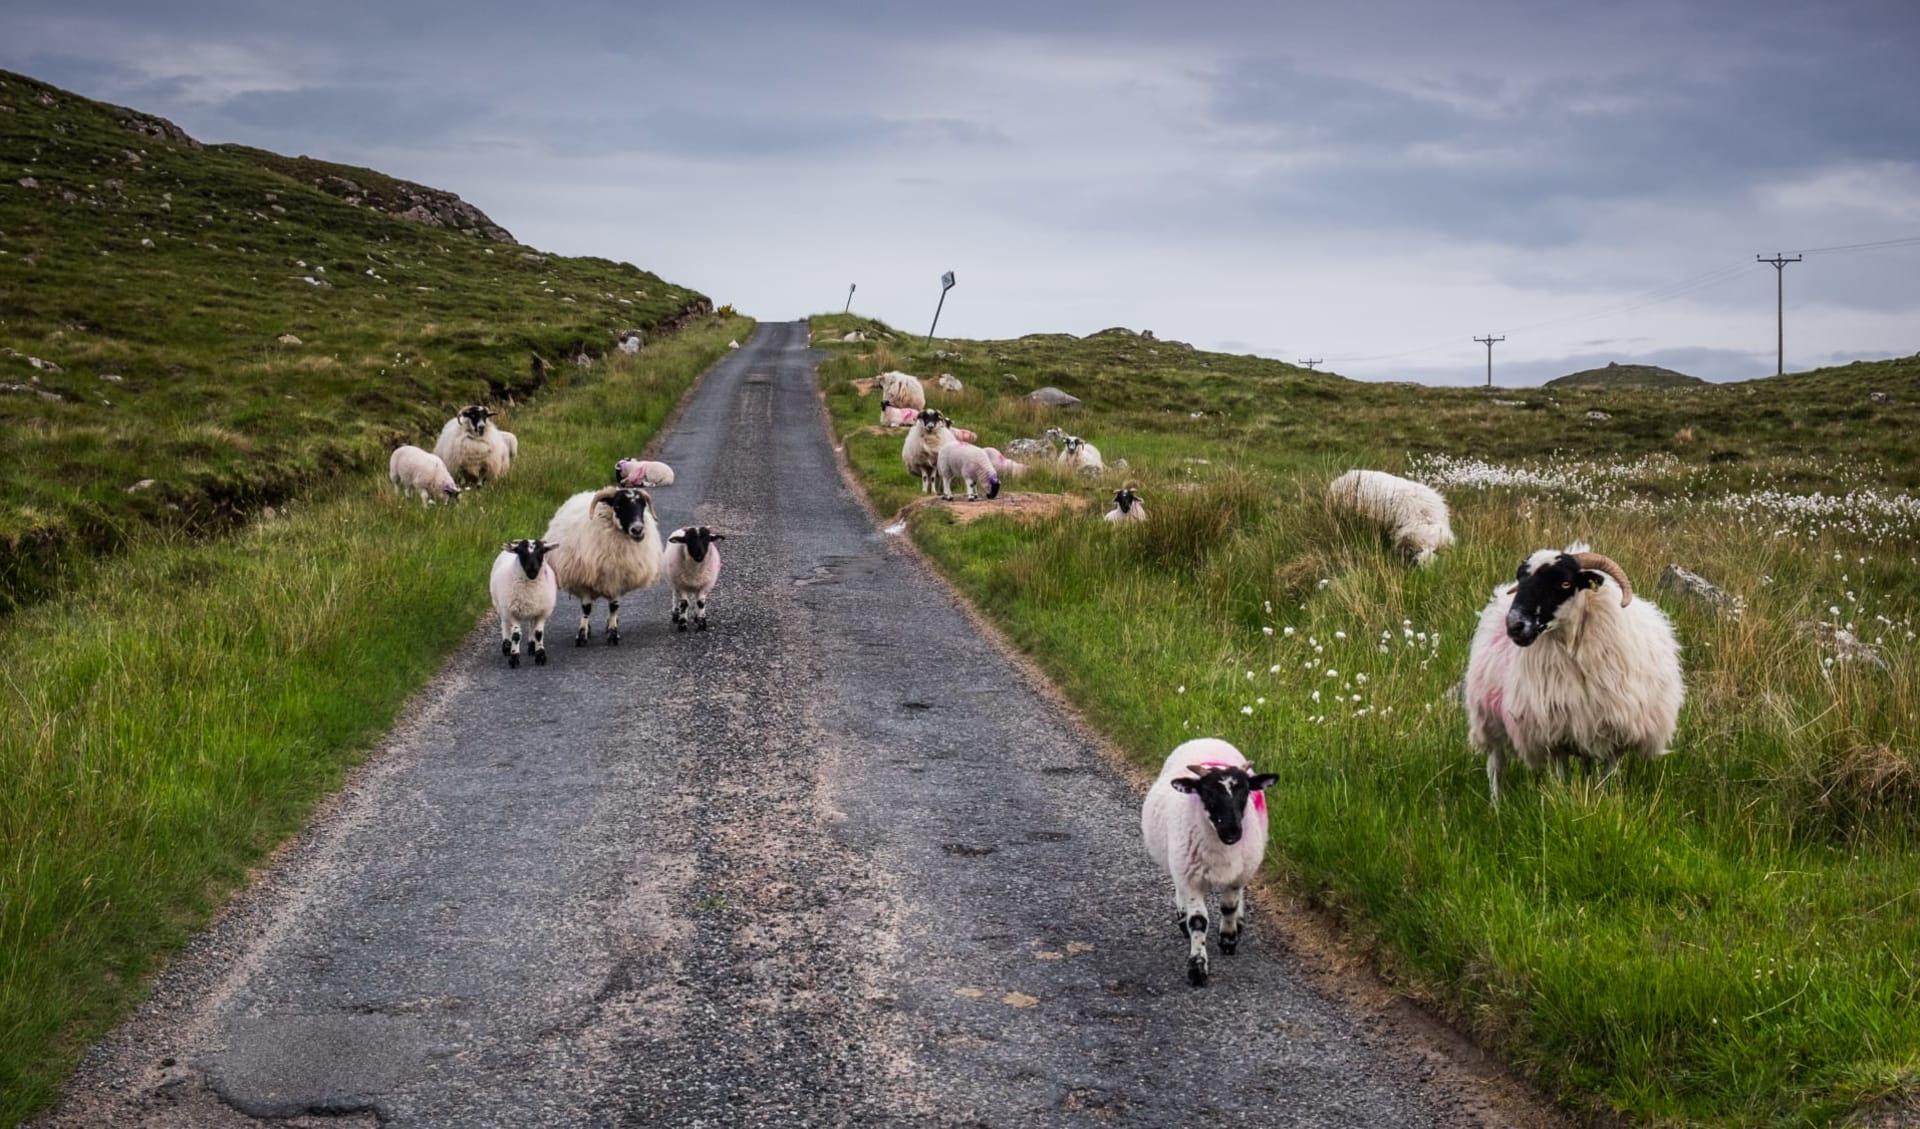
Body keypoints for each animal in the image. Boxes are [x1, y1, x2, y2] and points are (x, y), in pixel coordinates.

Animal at [491, 541, 560, 672]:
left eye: (542, 551)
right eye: (521, 552)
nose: (532, 569)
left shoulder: (542, 612)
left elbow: (538, 634)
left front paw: (540, 655)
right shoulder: (512, 612)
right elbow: (516, 635)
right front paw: (514, 658)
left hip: (533, 610)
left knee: (531, 625)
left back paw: (532, 646)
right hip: (501, 606)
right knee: (505, 624)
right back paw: (506, 645)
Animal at [537, 483, 664, 645]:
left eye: (642, 505)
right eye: (618, 505)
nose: (637, 530)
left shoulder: (617, 577)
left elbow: (614, 607)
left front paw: (613, 633)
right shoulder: (583, 579)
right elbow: (586, 608)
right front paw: (582, 635)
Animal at [1136, 737, 1274, 983]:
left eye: (1245, 793)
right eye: (1207, 794)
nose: (1232, 832)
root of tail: (1207, 739)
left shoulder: (1237, 877)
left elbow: (1229, 907)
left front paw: (1228, 939)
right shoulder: (1190, 878)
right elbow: (1198, 922)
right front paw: (1197, 967)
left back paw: (1239, 923)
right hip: (1179, 862)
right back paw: (1182, 919)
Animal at [1466, 545, 1681, 802]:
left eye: (1565, 583)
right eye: (1521, 578)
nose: (1514, 626)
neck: (1573, 645)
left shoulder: (1615, 733)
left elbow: (1606, 780)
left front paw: (1600, 802)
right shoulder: (1556, 733)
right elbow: (1562, 778)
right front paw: (1564, 799)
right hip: (1489, 718)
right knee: (1496, 766)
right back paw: (1497, 805)